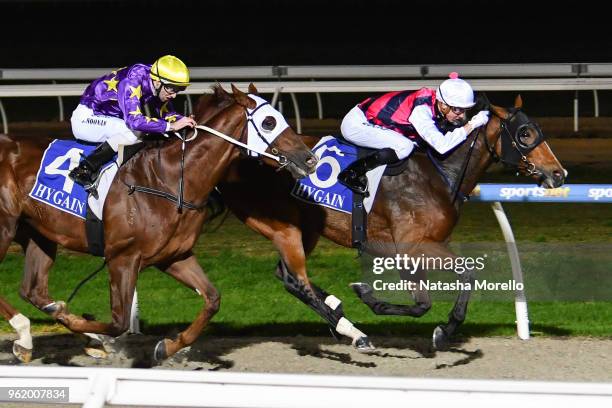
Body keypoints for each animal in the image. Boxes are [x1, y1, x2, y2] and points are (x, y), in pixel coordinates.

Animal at [0, 82, 316, 360]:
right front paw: (84, 329)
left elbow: (212, 299)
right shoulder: (123, 258)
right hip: (6, 228)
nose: (309, 159)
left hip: (38, 234)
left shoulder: (174, 256)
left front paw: (168, 346)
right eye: (268, 122)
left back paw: (52, 337)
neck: (168, 179)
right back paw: (28, 331)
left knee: (33, 290)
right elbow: (119, 322)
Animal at [218, 95, 568, 350]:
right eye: (525, 133)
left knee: (287, 275)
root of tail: (238, 160)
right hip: (283, 227)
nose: (559, 173)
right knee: (292, 278)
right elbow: (455, 280)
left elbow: (429, 298)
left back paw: (337, 311)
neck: (436, 175)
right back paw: (350, 328)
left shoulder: (419, 250)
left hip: (307, 230)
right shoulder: (412, 247)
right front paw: (442, 328)